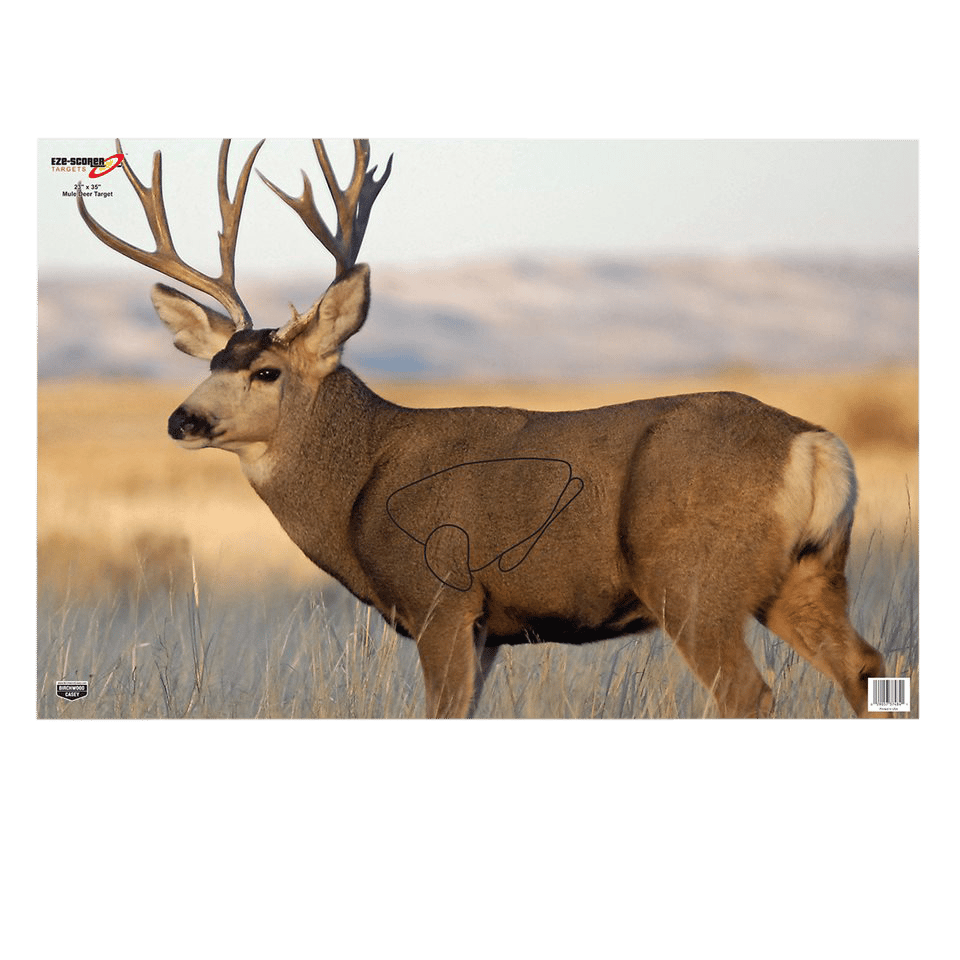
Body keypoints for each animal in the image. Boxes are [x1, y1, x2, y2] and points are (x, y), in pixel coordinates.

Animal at [77, 137, 892, 720]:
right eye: (215, 358)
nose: (183, 418)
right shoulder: (491, 629)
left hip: (693, 581)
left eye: (268, 372)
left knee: (751, 693)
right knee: (868, 669)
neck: (360, 485)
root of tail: (815, 446)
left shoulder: (443, 598)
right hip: (806, 576)